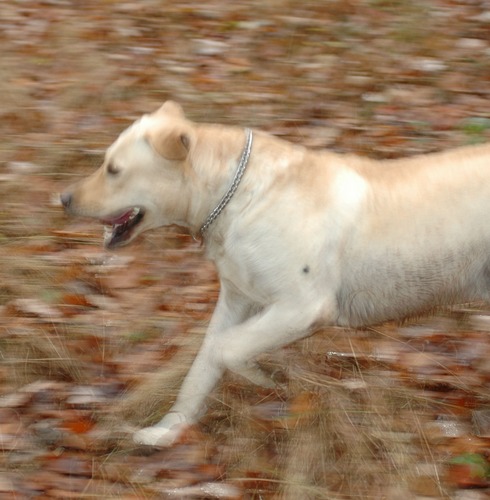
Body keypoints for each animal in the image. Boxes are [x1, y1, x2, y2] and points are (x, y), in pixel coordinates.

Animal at [61, 101, 490, 446]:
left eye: (113, 169)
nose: (63, 198)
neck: (237, 196)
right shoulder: (235, 300)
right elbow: (202, 365)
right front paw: (168, 430)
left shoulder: (303, 308)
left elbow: (225, 349)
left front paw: (261, 378)